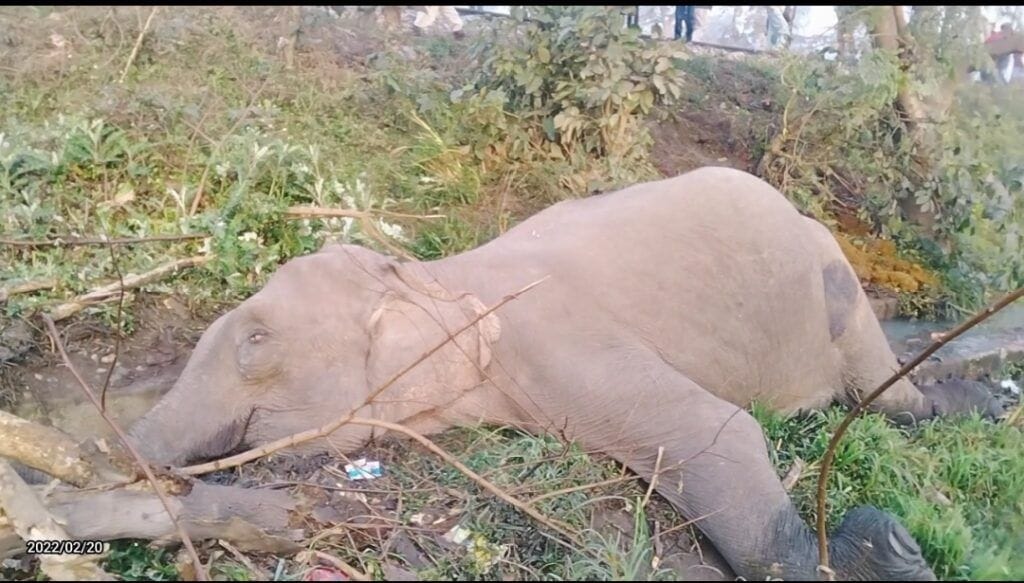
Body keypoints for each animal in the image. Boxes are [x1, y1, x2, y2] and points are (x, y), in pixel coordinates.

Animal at [127, 166, 1001, 581]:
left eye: (255, 342)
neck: (436, 279)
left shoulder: (557, 341)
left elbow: (717, 431)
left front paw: (887, 548)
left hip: (838, 280)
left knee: (888, 394)